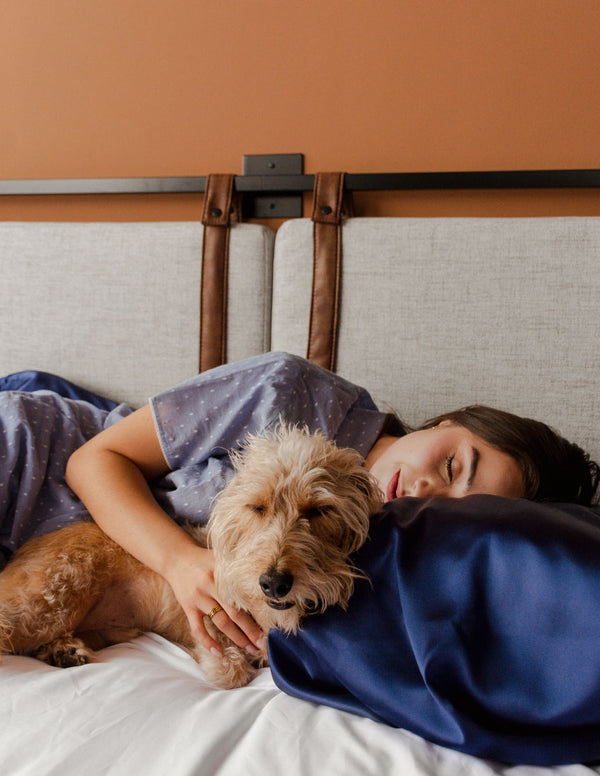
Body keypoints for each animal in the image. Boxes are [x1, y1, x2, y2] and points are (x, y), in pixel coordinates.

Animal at [0, 428, 382, 688]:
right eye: (257, 507)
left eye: (319, 510)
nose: (274, 583)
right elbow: (229, 670)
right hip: (51, 598)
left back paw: (64, 651)